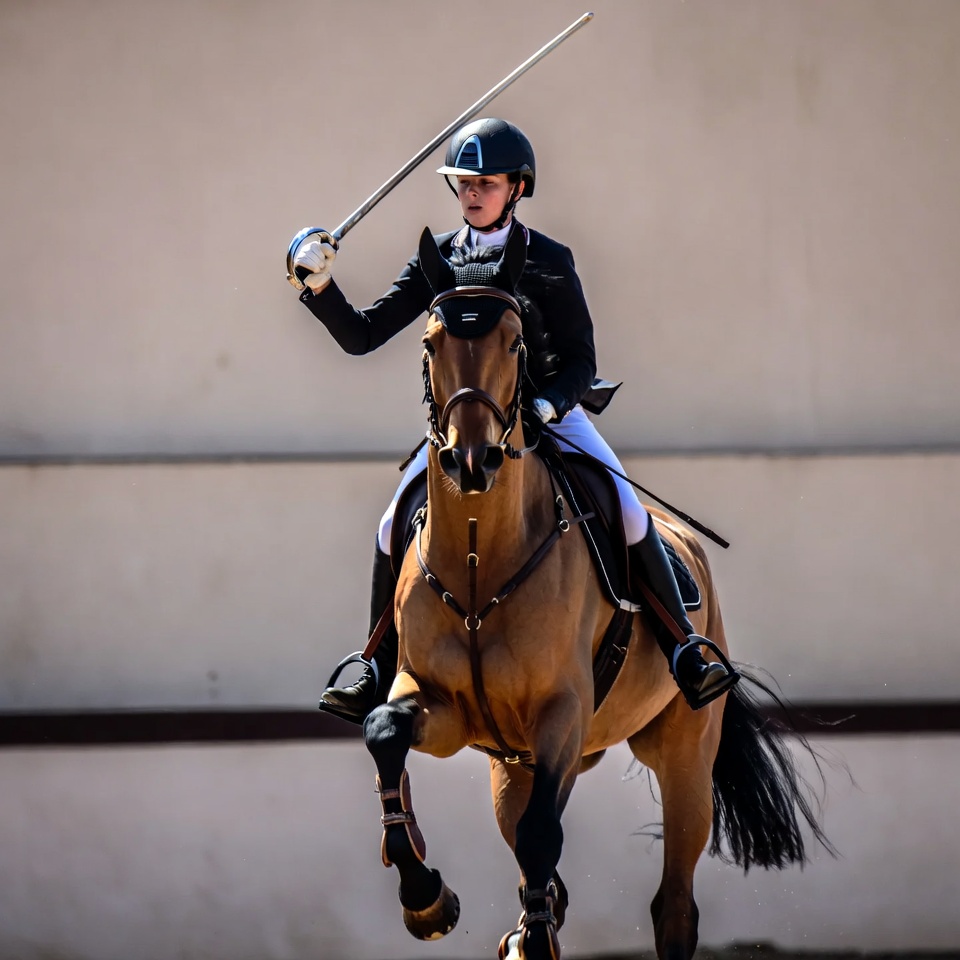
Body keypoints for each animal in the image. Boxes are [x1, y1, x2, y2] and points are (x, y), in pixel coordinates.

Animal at [361, 224, 828, 960]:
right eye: (431, 342)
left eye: (515, 343)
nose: (472, 462)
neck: (479, 556)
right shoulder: (438, 703)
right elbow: (384, 732)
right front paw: (426, 898)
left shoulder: (561, 713)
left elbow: (540, 838)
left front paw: (503, 923)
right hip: (516, 763)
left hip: (682, 752)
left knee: (673, 904)